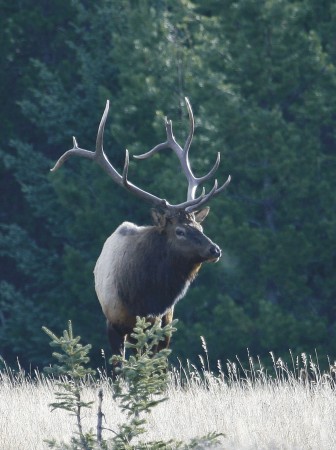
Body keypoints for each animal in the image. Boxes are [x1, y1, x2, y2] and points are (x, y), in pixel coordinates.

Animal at [51, 99, 230, 358]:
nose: (215, 250)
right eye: (180, 231)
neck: (145, 299)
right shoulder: (114, 322)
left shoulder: (162, 325)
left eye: (199, 226)